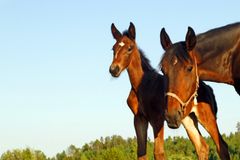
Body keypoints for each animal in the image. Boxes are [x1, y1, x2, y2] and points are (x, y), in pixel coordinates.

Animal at [109, 22, 229, 160]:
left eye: (129, 48)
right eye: (113, 48)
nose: (114, 69)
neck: (142, 85)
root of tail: (208, 88)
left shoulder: (157, 119)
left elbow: (158, 152)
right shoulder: (139, 119)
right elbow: (141, 152)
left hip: (206, 116)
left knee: (222, 146)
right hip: (188, 118)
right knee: (202, 147)